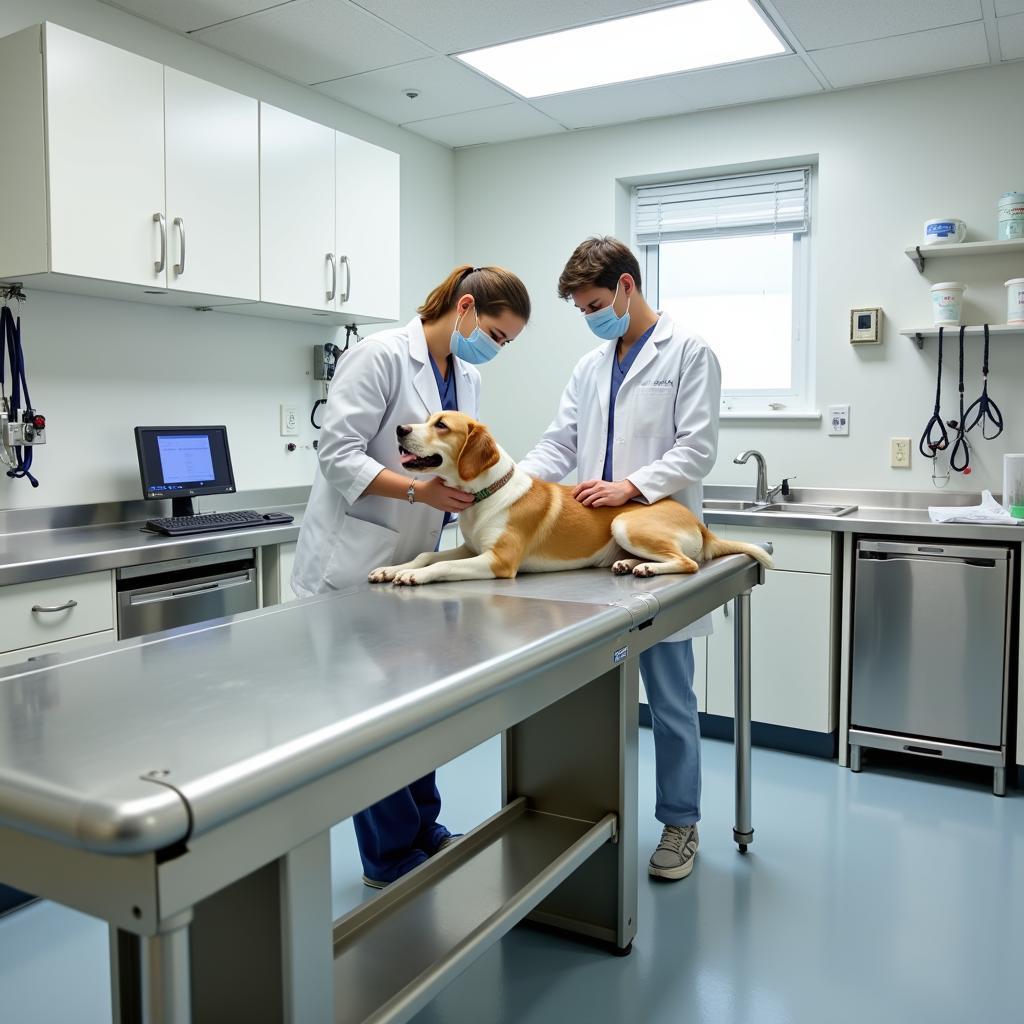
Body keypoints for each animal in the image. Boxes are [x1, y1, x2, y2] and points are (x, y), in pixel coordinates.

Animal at [368, 407, 770, 585]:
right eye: (425, 419)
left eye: (441, 425)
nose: (400, 429)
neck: (486, 494)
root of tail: (701, 525)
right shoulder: (471, 548)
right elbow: (426, 555)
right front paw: (393, 568)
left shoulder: (498, 561)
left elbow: (442, 566)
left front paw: (413, 575)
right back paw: (628, 564)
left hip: (625, 523)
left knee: (688, 563)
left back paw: (646, 568)